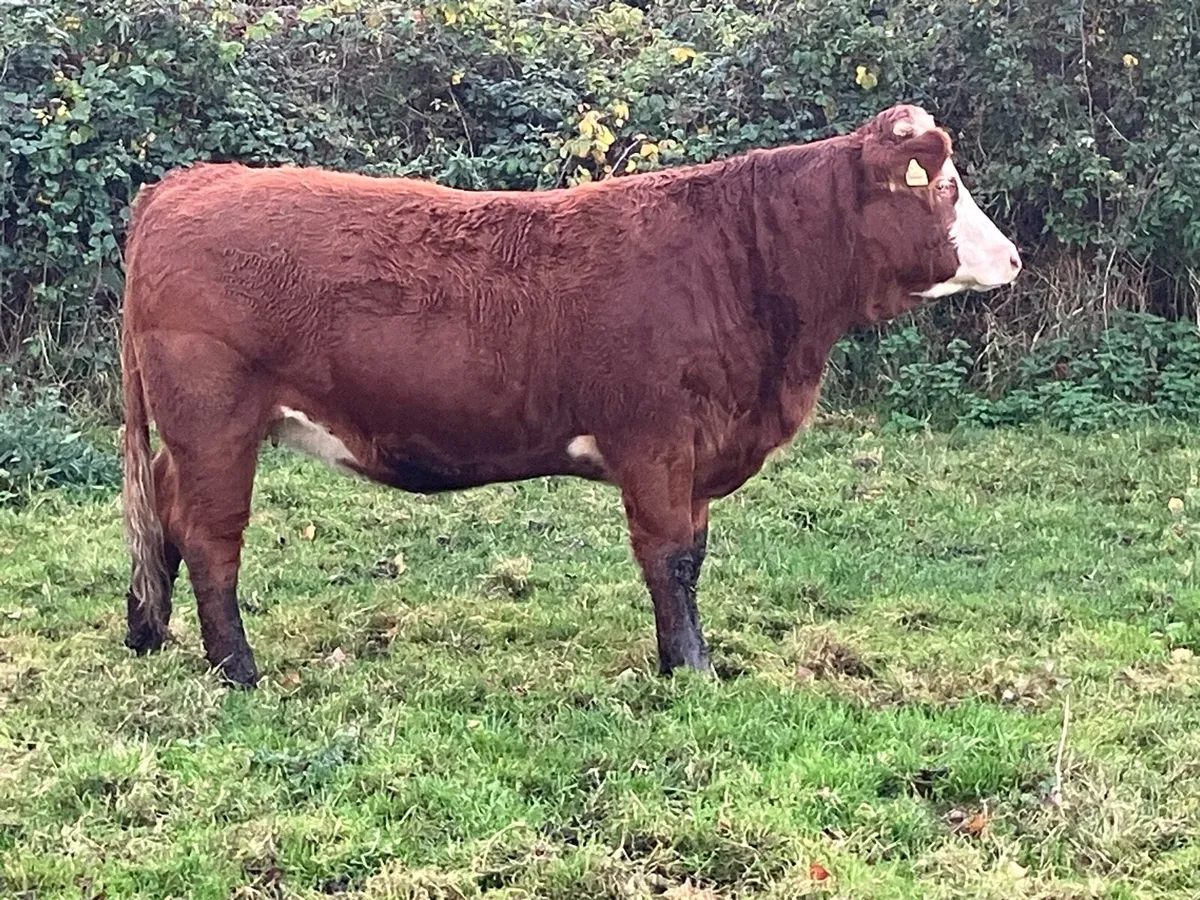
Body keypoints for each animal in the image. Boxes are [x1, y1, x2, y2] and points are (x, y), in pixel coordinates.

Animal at [119, 104, 1020, 687]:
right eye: (939, 187)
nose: (1011, 257)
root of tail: (190, 182)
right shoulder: (655, 443)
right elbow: (670, 557)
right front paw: (693, 673)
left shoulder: (695, 454)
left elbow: (692, 557)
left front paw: (680, 662)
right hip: (215, 423)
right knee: (211, 539)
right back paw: (238, 672)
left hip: (195, 433)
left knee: (162, 511)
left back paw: (146, 630)